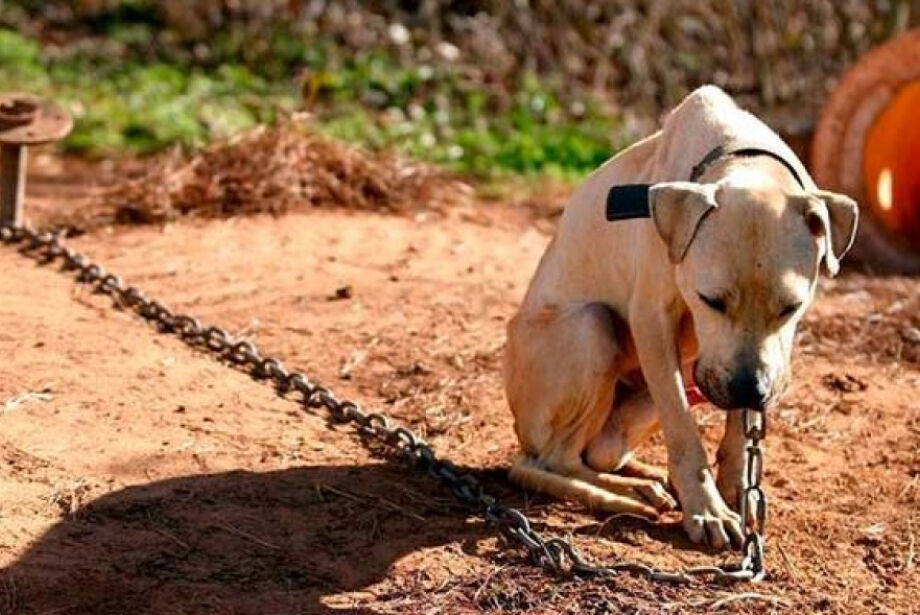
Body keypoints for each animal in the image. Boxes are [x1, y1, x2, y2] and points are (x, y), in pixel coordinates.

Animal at [504, 85, 856, 548]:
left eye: (791, 307)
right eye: (711, 300)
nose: (749, 390)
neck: (741, 156)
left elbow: (740, 431)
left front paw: (736, 490)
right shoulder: (653, 321)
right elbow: (685, 432)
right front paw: (708, 510)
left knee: (594, 453)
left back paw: (644, 477)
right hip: (591, 327)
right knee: (550, 460)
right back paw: (629, 494)